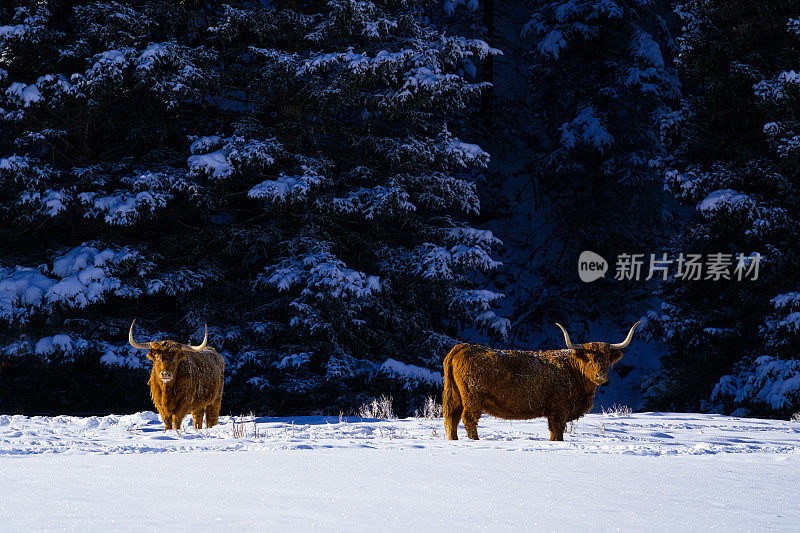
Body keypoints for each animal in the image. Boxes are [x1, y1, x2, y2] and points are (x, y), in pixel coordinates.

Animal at [440, 320, 640, 440]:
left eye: (606, 359)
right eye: (589, 359)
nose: (601, 376)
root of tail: (463, 347)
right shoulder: (559, 410)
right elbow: (558, 432)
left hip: (454, 395)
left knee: (452, 418)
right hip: (472, 397)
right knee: (468, 418)